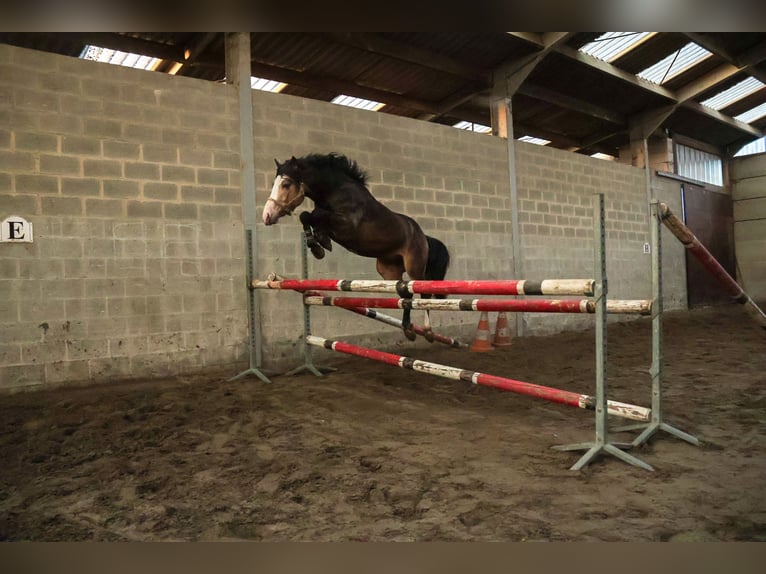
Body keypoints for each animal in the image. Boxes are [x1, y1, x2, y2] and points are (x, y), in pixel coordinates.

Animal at [266, 152, 452, 342]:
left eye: (286, 184)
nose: (267, 215)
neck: (336, 192)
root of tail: (424, 237)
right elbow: (308, 216)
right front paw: (318, 244)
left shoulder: (346, 226)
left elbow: (312, 215)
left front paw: (319, 244)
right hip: (389, 271)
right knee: (406, 295)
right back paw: (408, 330)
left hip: (414, 266)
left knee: (423, 293)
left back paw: (428, 332)